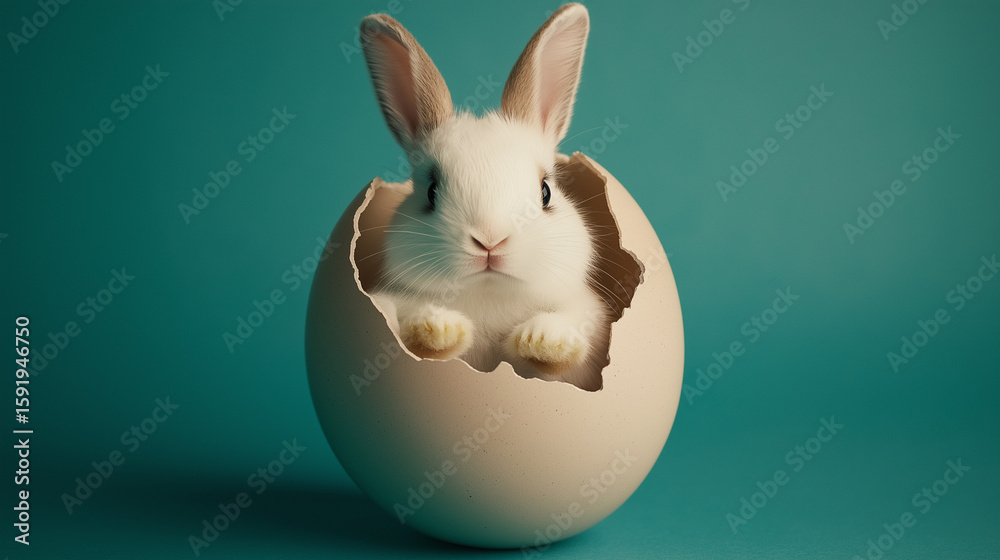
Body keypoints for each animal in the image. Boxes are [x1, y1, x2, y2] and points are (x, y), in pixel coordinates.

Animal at [359, 3, 609, 391]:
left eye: (545, 192)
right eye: (431, 190)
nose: (490, 240)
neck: (490, 293)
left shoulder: (590, 312)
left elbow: (567, 331)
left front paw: (543, 342)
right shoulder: (383, 302)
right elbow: (406, 316)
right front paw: (438, 328)